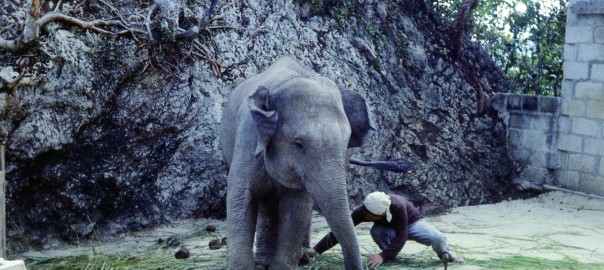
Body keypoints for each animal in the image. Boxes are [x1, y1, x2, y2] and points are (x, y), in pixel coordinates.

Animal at [219, 56, 370, 268]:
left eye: (346, 144)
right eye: (298, 144)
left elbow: (296, 209)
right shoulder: (248, 138)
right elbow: (241, 198)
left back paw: (301, 258)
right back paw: (265, 262)